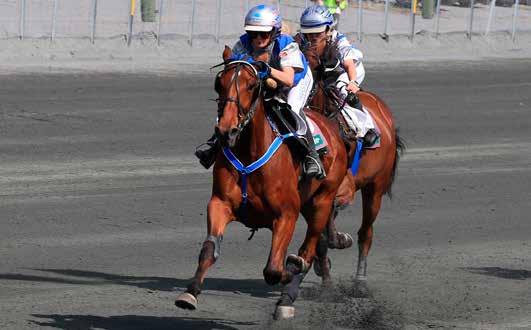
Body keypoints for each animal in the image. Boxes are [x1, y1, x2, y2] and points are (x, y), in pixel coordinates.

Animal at [175, 46, 350, 318]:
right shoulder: (220, 203)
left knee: (308, 250)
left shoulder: (286, 214)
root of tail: (330, 127)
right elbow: (208, 249)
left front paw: (291, 268)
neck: (250, 150)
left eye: (251, 85)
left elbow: (275, 269)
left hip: (322, 201)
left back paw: (287, 297)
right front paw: (190, 293)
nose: (226, 131)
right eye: (219, 83)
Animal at [300, 38, 408, 286]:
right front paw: (324, 271)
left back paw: (360, 276)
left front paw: (339, 240)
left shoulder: (343, 189)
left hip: (375, 188)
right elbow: (319, 236)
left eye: (313, 69)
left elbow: (332, 217)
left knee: (366, 232)